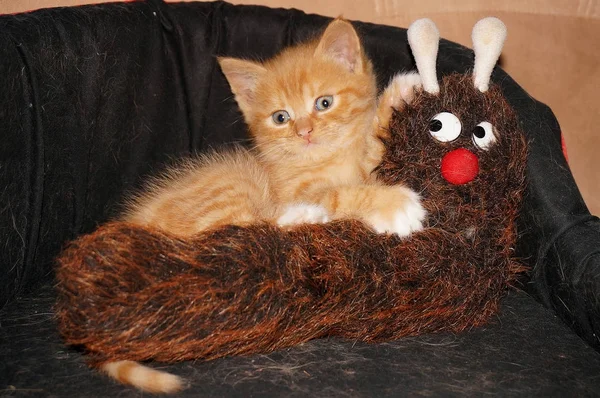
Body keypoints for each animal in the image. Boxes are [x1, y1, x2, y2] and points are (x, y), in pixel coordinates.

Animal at [110, 17, 424, 392]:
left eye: (324, 103)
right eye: (280, 117)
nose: (304, 132)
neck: (328, 158)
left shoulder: (364, 165)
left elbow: (371, 151)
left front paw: (401, 92)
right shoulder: (295, 189)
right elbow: (340, 194)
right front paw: (395, 204)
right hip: (232, 185)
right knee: (235, 233)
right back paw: (303, 216)